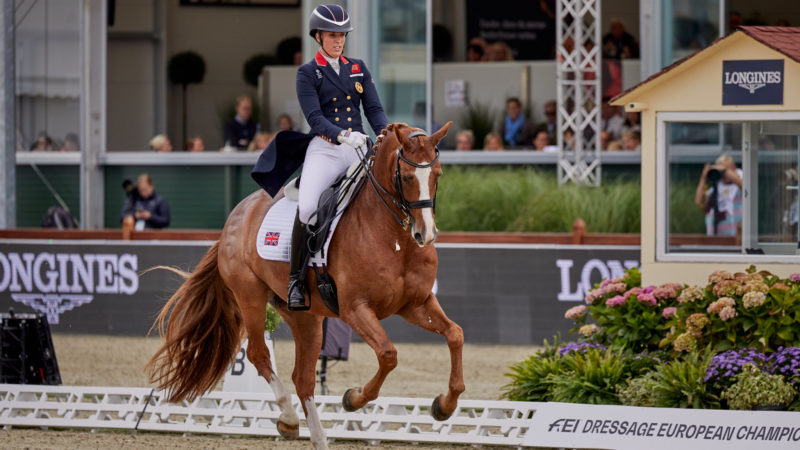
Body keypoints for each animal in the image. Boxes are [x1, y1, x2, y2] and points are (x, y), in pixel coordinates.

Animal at [147, 121, 466, 448]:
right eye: (405, 177)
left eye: (438, 174)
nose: (425, 235)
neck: (395, 238)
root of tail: (235, 217)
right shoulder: (355, 309)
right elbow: (388, 355)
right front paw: (353, 398)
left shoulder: (415, 304)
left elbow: (455, 334)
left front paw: (444, 405)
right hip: (250, 296)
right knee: (259, 355)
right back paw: (288, 419)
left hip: (305, 318)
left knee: (303, 378)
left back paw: (318, 437)